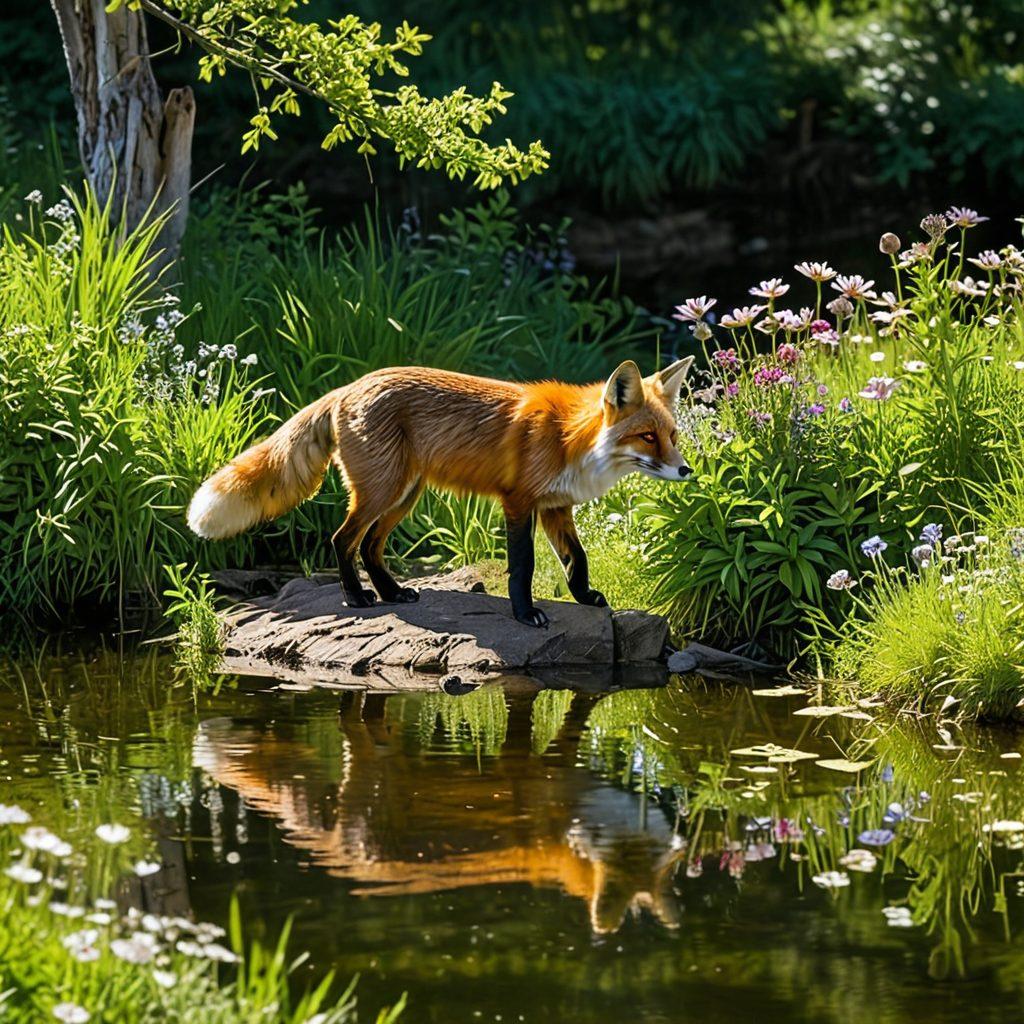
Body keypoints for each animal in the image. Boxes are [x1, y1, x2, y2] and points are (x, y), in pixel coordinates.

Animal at [186, 357, 694, 627]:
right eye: (647, 437)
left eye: (672, 435)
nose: (686, 470)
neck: (571, 439)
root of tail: (350, 385)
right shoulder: (519, 502)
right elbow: (523, 567)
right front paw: (525, 614)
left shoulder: (556, 507)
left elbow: (577, 560)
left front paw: (585, 598)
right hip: (383, 490)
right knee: (342, 539)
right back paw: (357, 597)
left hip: (403, 494)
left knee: (370, 546)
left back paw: (391, 593)